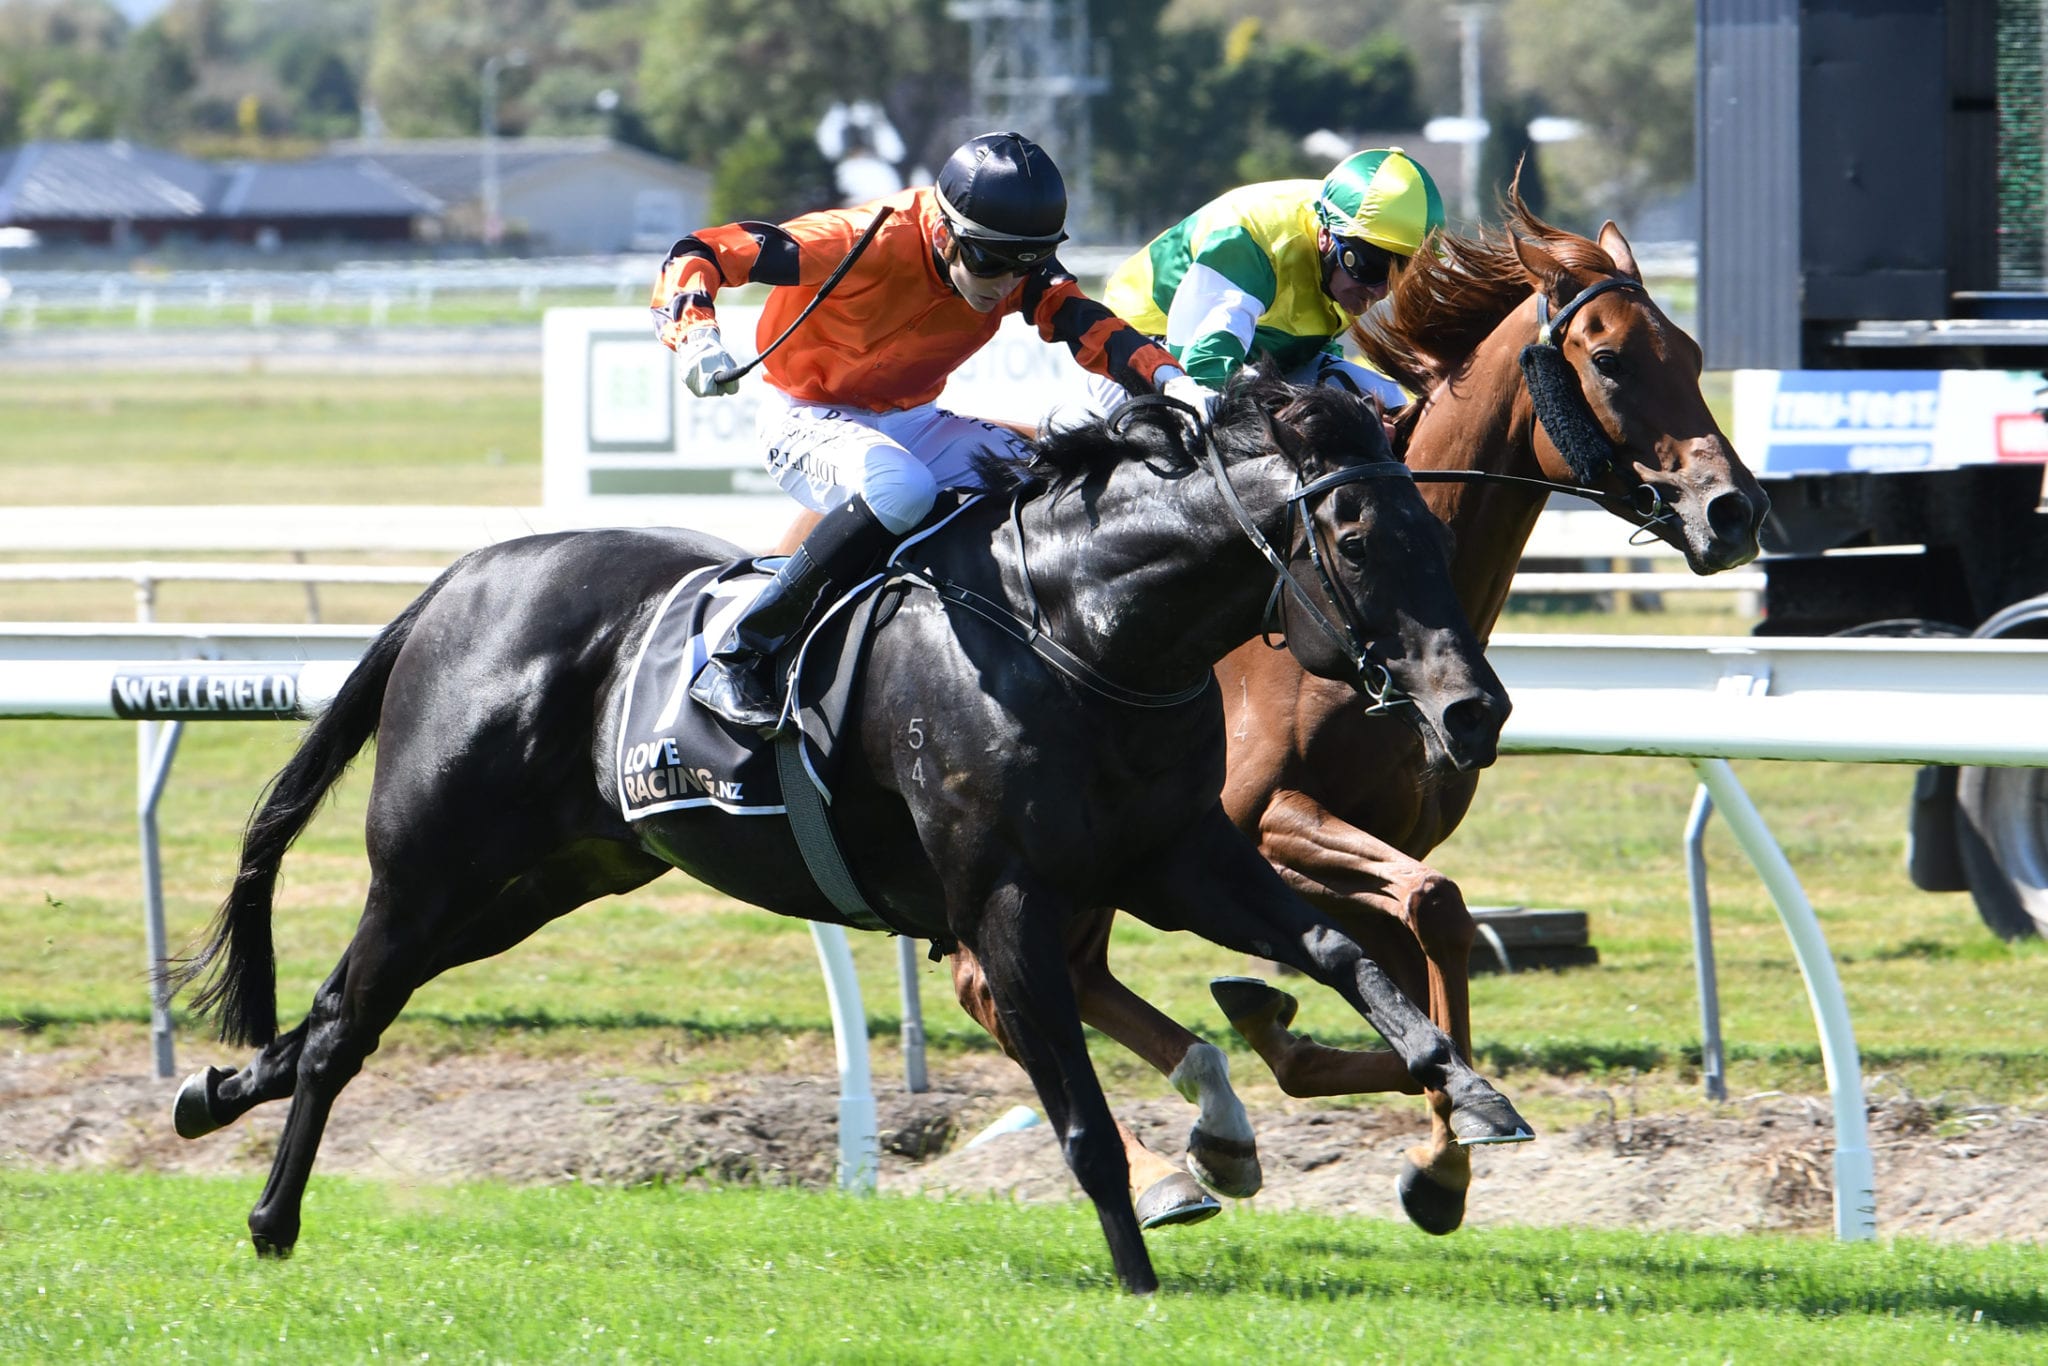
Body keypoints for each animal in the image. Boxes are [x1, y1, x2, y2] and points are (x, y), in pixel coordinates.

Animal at [172, 378, 1523, 1302]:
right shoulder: (1005, 901)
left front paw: (1466, 1091)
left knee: (335, 1014)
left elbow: (1336, 954)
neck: (1077, 631)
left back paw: (211, 1091)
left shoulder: (1180, 855)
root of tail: (455, 585)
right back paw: (270, 1217)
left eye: (1429, 530)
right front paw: (1139, 1273)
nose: (1473, 709)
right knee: (343, 1025)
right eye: (1357, 537)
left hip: (542, 879)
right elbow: (1079, 1114)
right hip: (430, 867)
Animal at [937, 197, 1769, 1236]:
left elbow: (1418, 961)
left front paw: (1438, 1144)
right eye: (1611, 358)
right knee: (997, 985)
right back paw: (1164, 1167)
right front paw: (1440, 1146)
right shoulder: (1262, 820)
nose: (1734, 511)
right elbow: (1436, 907)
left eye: (1692, 353)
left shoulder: (1366, 841)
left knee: (1061, 981)